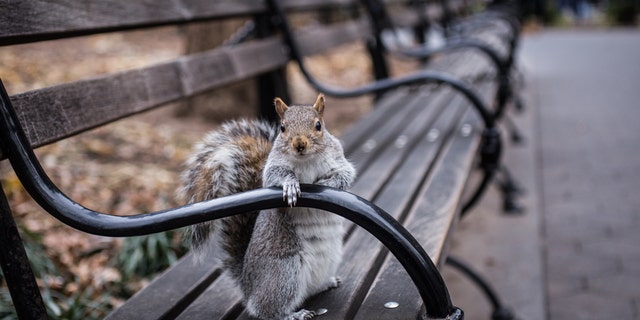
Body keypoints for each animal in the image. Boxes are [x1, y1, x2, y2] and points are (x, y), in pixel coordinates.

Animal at [180, 94, 358, 318]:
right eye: (282, 127)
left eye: (318, 125)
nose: (299, 144)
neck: (306, 160)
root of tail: (248, 287)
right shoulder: (272, 168)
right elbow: (276, 175)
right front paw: (290, 184)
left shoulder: (338, 159)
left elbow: (345, 175)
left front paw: (329, 184)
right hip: (284, 273)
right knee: (267, 310)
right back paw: (294, 314)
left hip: (327, 261)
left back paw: (328, 283)